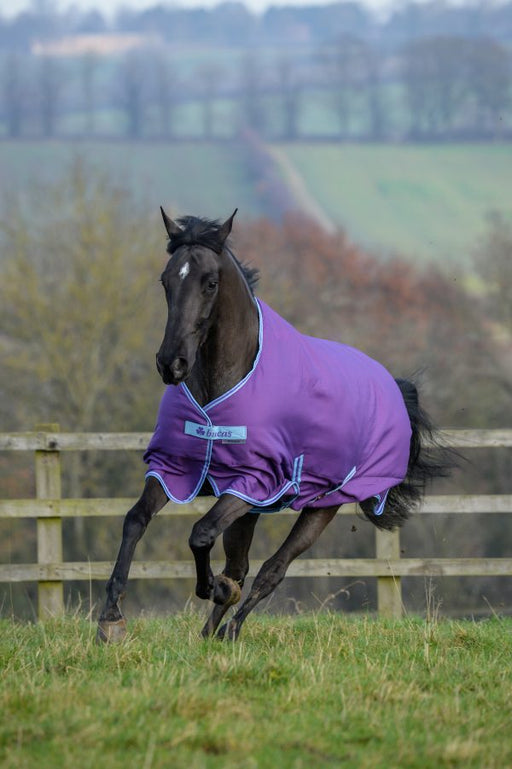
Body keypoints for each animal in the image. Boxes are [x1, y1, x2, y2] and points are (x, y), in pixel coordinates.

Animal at [97, 209, 448, 643]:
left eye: (210, 283)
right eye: (166, 280)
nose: (171, 363)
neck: (221, 389)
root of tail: (391, 384)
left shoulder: (253, 481)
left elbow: (200, 533)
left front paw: (213, 588)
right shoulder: (175, 468)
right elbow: (136, 520)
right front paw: (111, 618)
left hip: (320, 506)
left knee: (271, 571)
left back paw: (231, 626)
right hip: (252, 510)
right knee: (241, 566)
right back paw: (211, 630)